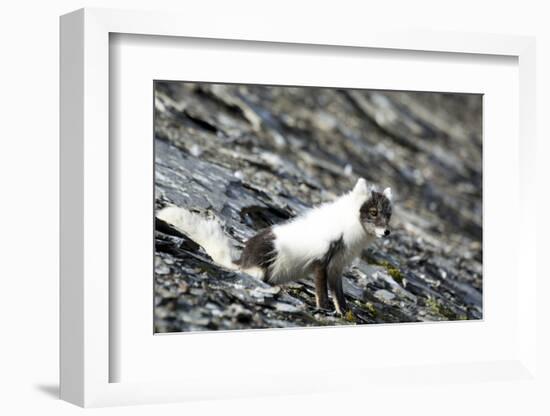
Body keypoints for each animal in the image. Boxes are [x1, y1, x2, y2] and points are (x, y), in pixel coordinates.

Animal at [157, 178, 394, 316]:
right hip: (261, 268)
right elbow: (322, 292)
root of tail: (242, 260)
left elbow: (339, 294)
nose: (387, 233)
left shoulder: (336, 267)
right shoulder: (321, 260)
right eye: (373, 213)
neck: (349, 228)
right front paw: (323, 310)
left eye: (388, 215)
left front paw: (345, 313)